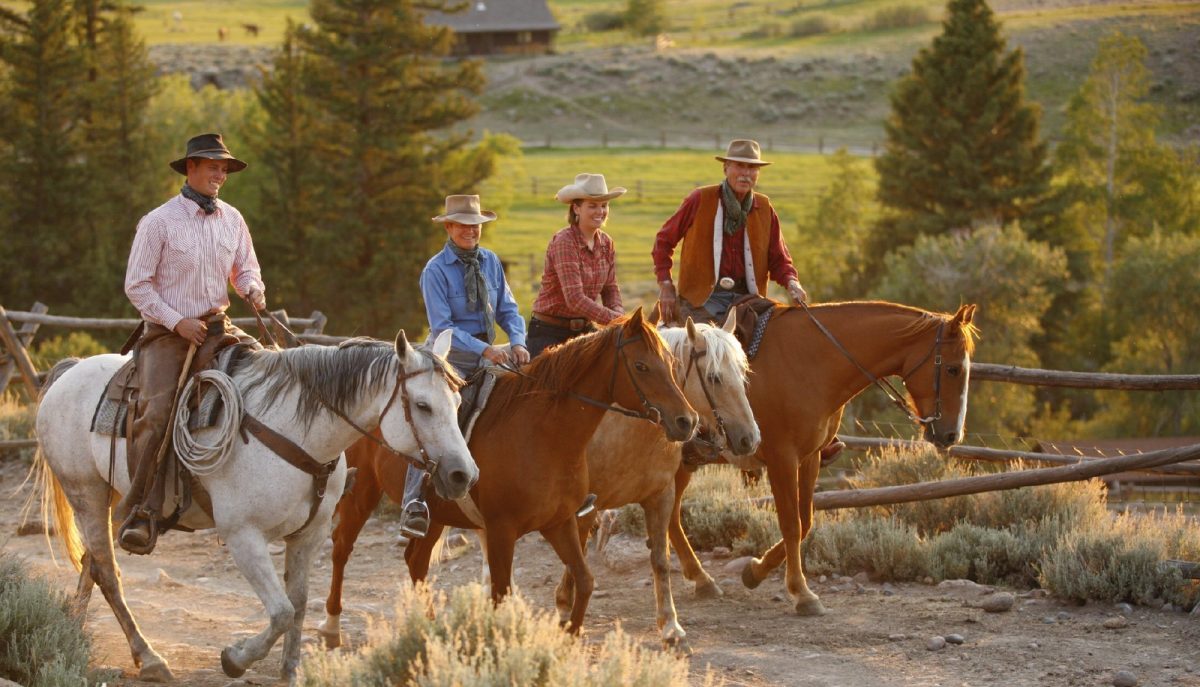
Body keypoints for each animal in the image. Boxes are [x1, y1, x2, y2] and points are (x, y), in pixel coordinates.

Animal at [34, 331, 472, 682]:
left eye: (457, 400)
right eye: (422, 405)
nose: (463, 474)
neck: (296, 433)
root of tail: (70, 371)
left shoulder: (309, 536)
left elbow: (298, 603)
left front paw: (290, 670)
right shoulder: (243, 536)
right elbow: (280, 610)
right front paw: (235, 659)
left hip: (109, 497)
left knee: (91, 565)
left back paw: (73, 632)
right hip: (86, 494)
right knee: (108, 573)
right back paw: (150, 658)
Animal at [319, 307, 700, 643]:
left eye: (671, 364)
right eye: (641, 366)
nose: (687, 421)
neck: (544, 434)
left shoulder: (559, 522)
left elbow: (585, 580)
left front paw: (570, 637)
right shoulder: (502, 531)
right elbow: (501, 594)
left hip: (437, 514)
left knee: (416, 561)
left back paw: (428, 629)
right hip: (362, 492)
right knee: (341, 549)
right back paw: (332, 626)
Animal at [554, 314, 758, 653]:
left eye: (742, 374)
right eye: (714, 377)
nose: (750, 439)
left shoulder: (661, 495)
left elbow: (660, 560)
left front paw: (672, 628)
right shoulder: (583, 505)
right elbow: (576, 552)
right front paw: (563, 606)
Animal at [667, 299, 974, 612]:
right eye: (953, 369)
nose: (952, 435)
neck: (810, 362)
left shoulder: (809, 457)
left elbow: (806, 521)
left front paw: (755, 571)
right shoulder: (782, 460)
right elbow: (791, 524)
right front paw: (802, 592)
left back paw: (700, 578)